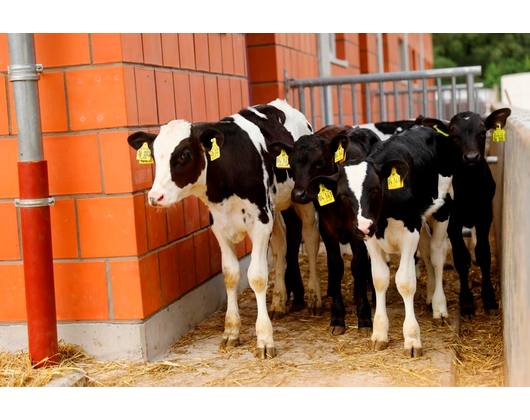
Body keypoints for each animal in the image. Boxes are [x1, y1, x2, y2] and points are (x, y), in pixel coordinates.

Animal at [127, 98, 318, 358]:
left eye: (185, 154)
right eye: (155, 155)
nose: (155, 197)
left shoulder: (260, 223)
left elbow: (257, 277)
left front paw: (264, 339)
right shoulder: (219, 226)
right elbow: (230, 274)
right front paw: (231, 331)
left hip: (303, 198)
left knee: (310, 238)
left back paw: (315, 297)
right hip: (275, 206)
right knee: (280, 245)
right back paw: (278, 301)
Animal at [270, 126, 378, 336]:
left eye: (319, 162)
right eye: (291, 166)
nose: (298, 194)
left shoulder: (358, 231)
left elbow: (358, 266)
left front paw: (364, 318)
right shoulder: (327, 230)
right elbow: (335, 266)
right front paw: (337, 317)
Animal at [306, 126, 454, 356]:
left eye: (376, 188)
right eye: (342, 195)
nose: (363, 225)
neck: (384, 215)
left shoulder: (410, 231)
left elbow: (405, 281)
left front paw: (412, 339)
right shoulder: (371, 239)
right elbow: (379, 279)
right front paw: (379, 333)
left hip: (442, 208)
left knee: (437, 254)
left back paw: (439, 308)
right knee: (427, 252)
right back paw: (430, 298)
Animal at [418, 107, 510, 318]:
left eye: (483, 132)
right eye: (453, 136)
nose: (471, 157)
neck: (469, 188)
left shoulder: (485, 214)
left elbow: (483, 253)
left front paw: (489, 300)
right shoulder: (452, 220)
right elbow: (461, 257)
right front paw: (467, 303)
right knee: (428, 250)